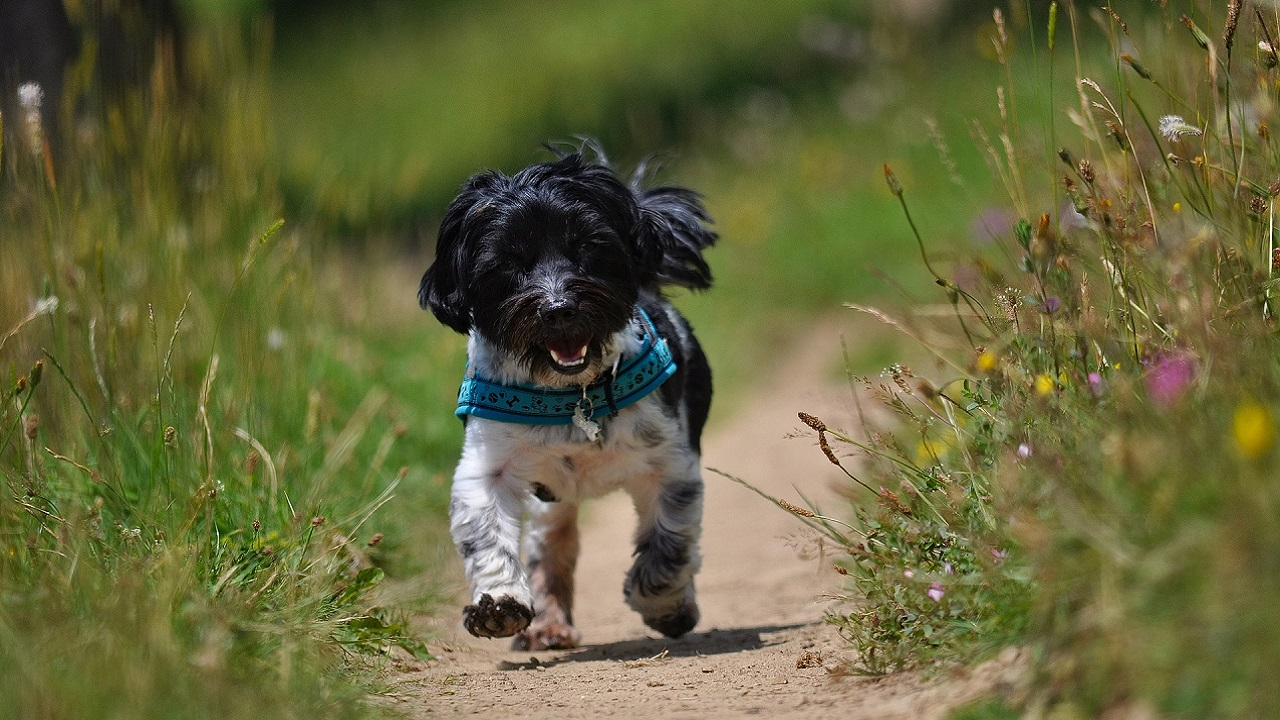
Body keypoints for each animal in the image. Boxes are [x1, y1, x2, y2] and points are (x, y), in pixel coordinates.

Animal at [422, 142, 716, 648]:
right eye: (508, 263)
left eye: (588, 248)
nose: (558, 308)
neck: (574, 396)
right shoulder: (487, 466)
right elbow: (487, 535)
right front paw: (499, 605)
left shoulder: (672, 465)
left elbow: (670, 543)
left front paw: (662, 605)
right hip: (550, 500)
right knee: (552, 545)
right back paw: (548, 624)